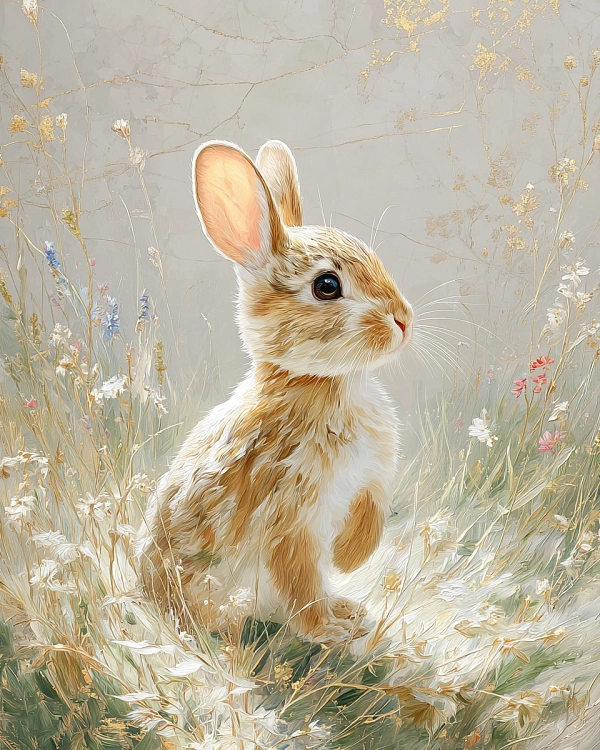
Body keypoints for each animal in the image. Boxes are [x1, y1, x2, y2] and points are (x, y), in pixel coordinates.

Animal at [136, 139, 413, 643]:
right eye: (328, 286)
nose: (403, 320)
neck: (325, 384)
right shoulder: (291, 515)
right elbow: (298, 578)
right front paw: (326, 631)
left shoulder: (370, 484)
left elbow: (369, 520)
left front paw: (348, 560)